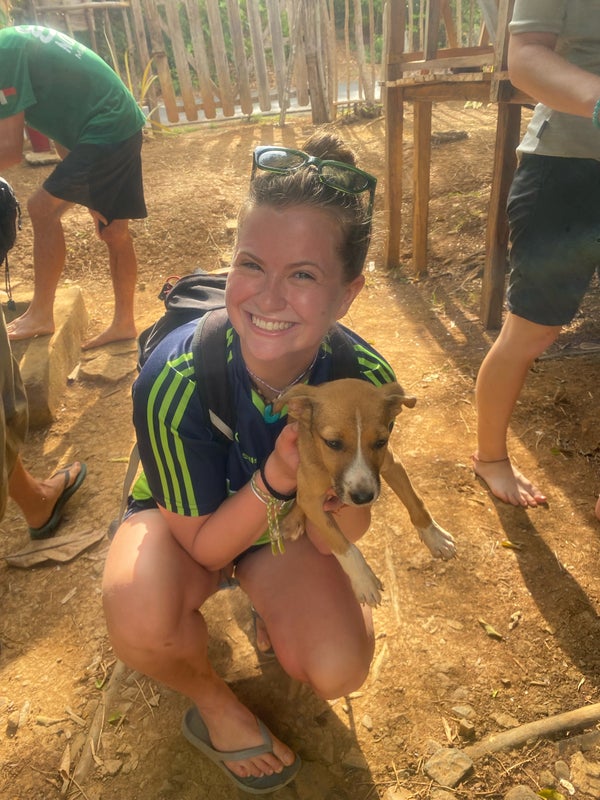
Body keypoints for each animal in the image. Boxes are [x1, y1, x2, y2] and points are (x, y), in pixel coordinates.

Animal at [274, 379, 456, 607]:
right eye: (333, 443)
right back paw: (292, 521)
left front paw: (435, 536)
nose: (363, 498)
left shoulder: (392, 464)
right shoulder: (311, 497)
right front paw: (363, 581)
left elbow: (416, 502)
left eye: (381, 442)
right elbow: (340, 542)